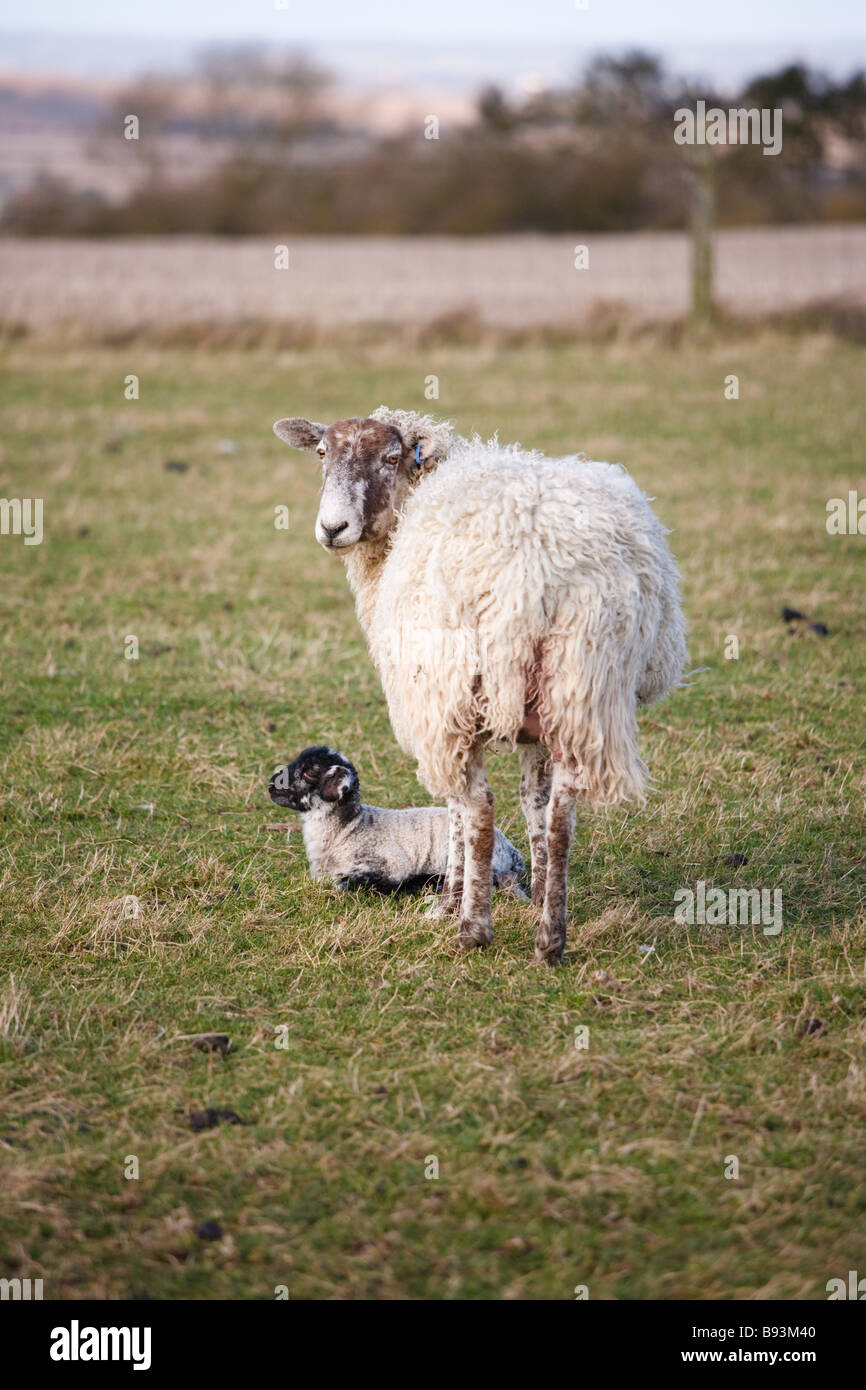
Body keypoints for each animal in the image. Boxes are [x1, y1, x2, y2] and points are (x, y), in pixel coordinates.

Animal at [268, 745, 526, 897]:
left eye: (310, 771)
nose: (271, 785)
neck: (349, 830)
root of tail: (511, 851)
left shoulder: (391, 863)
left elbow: (347, 881)